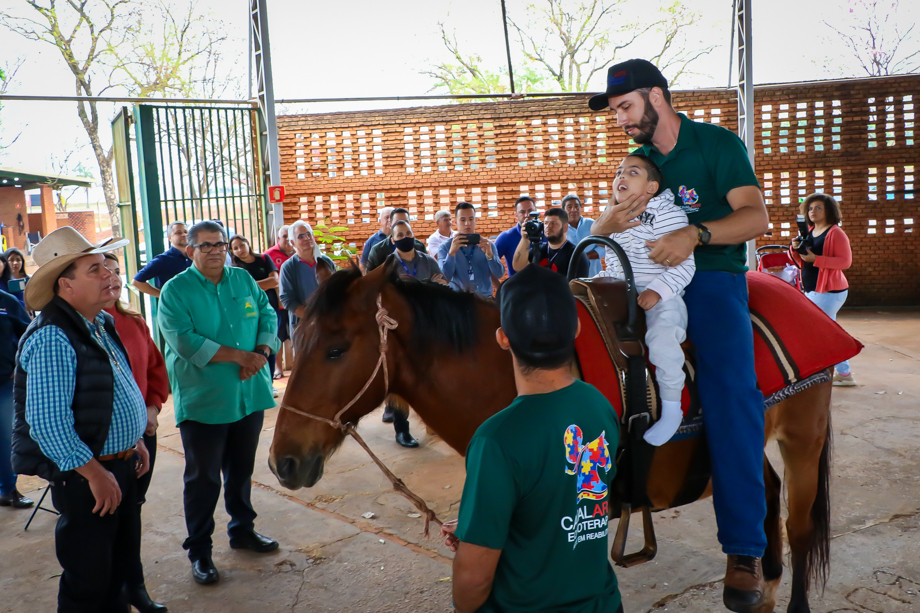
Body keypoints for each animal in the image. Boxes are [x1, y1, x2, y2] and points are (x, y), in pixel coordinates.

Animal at [272, 260, 832, 612]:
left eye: (337, 349)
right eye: (297, 337)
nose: (282, 461)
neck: (511, 371)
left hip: (803, 437)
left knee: (798, 525)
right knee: (764, 499)